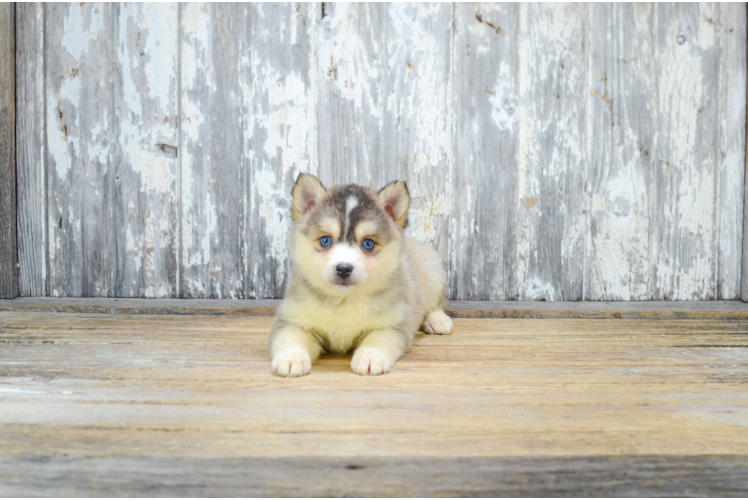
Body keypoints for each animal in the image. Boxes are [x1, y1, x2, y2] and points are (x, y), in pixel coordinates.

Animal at [272, 174, 452, 376]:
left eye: (368, 243)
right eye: (325, 240)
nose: (343, 268)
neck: (344, 301)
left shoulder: (392, 324)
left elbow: (378, 340)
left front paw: (370, 357)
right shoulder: (292, 321)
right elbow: (289, 338)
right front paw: (291, 358)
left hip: (434, 270)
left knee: (434, 304)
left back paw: (438, 321)